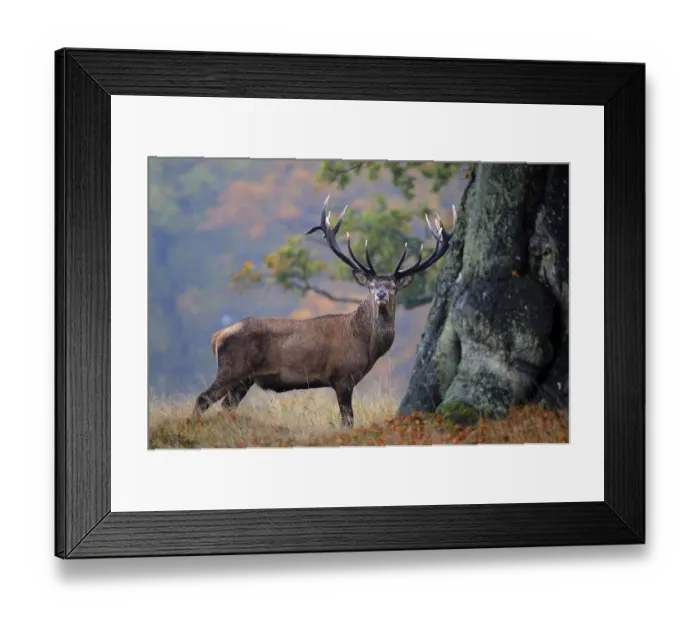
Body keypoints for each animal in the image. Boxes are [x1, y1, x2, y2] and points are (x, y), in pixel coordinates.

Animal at [192, 196, 456, 428]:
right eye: (372, 285)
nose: (381, 294)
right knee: (203, 398)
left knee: (226, 406)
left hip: (244, 380)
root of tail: (217, 336)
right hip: (232, 368)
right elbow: (347, 421)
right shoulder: (342, 376)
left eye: (393, 286)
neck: (365, 344)